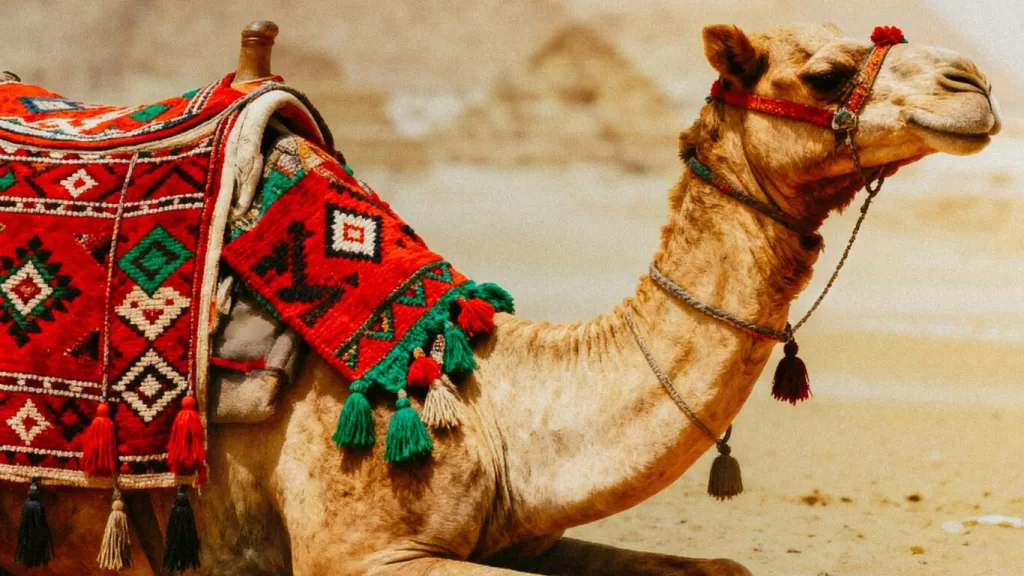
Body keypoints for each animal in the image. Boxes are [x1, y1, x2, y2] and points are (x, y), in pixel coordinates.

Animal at [0, 22, 1001, 576]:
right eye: (826, 72)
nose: (977, 84)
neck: (490, 399)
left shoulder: (519, 531)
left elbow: (720, 566)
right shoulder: (360, 553)